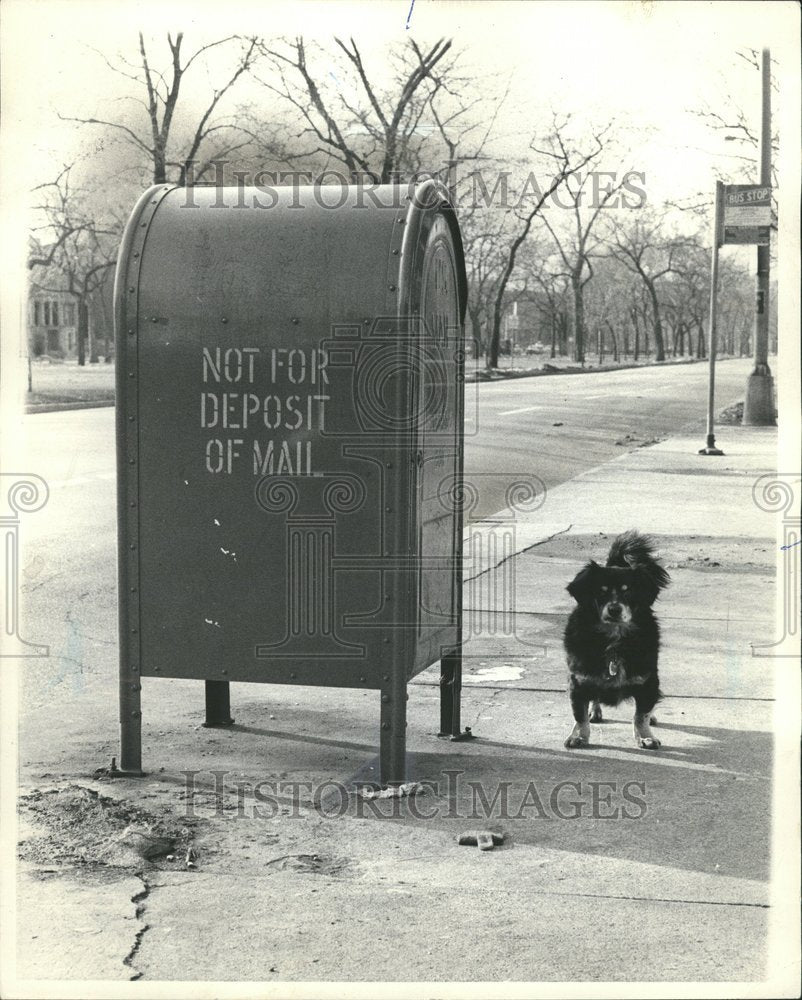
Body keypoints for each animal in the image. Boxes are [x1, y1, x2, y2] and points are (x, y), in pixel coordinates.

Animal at [564, 532, 668, 752]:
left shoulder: (648, 681)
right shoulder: (578, 682)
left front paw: (645, 737)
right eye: (601, 591)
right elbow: (579, 716)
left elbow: (641, 715)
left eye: (628, 590)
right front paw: (579, 736)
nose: (614, 609)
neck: (614, 640)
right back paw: (594, 711)